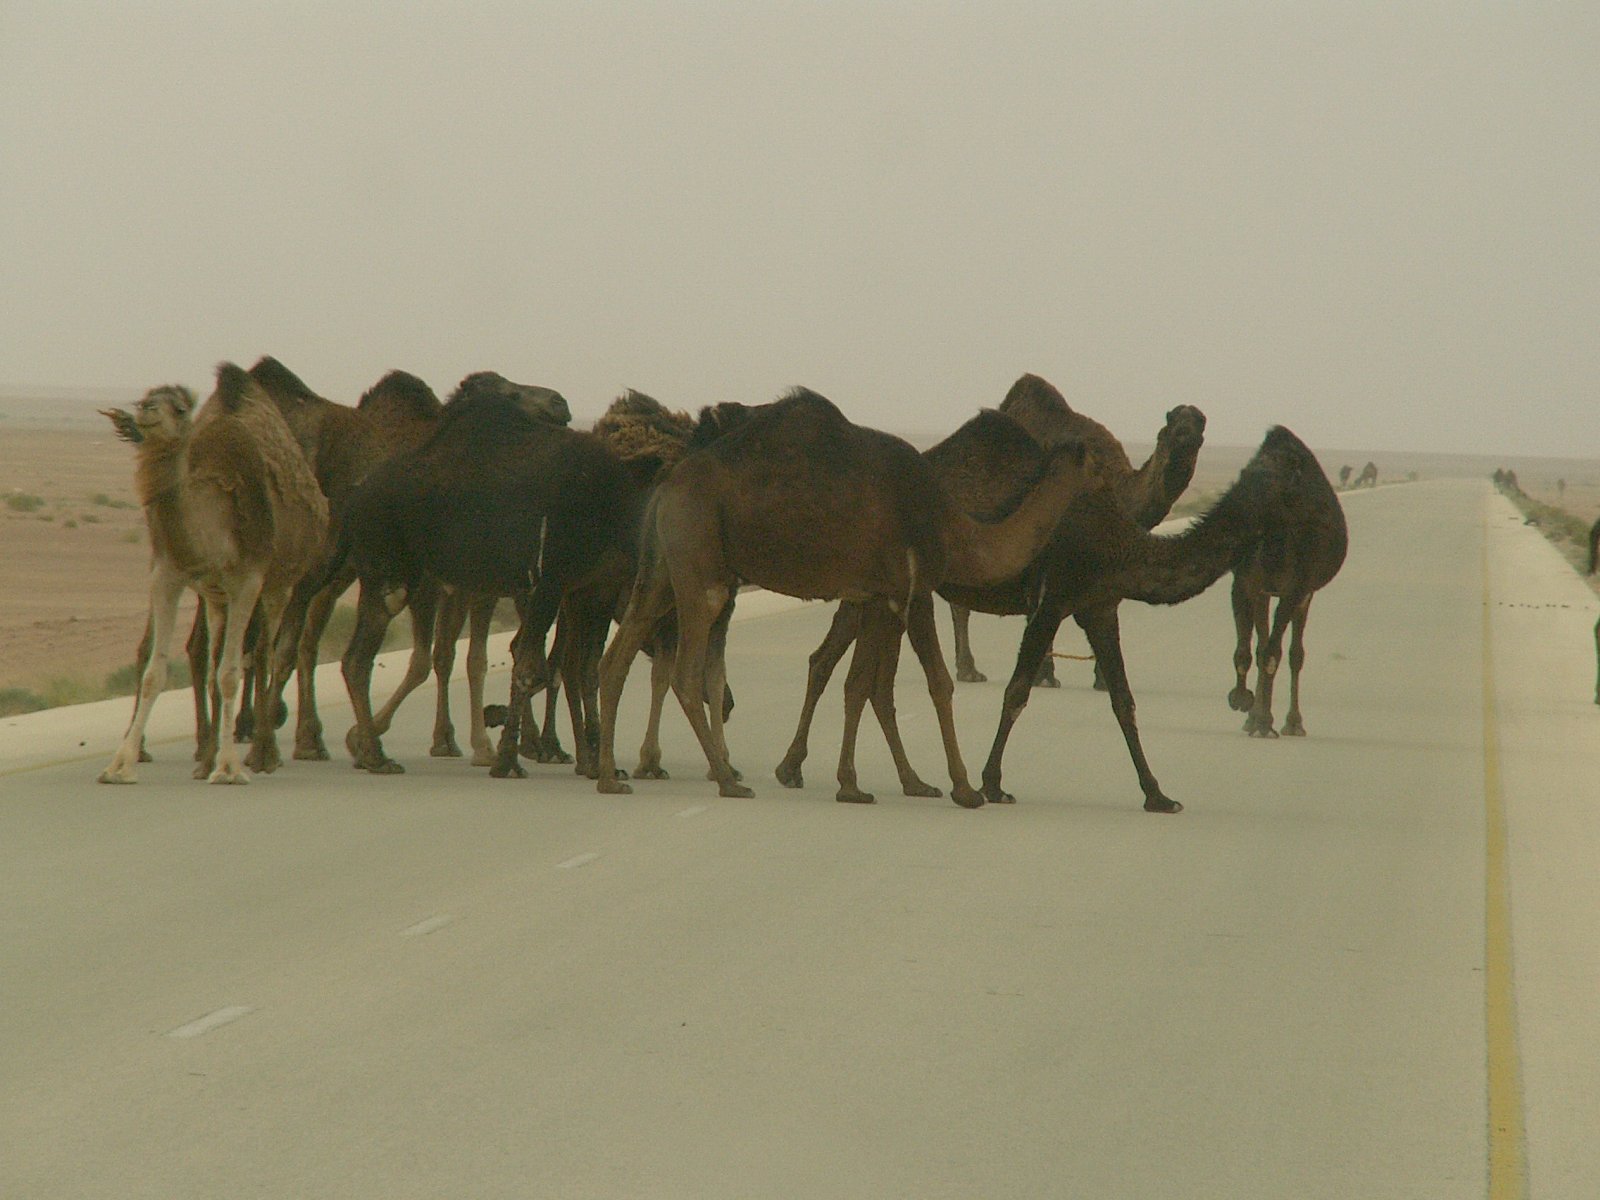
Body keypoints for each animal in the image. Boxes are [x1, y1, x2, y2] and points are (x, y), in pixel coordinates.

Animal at [98, 365, 328, 784]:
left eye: (180, 407)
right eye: (146, 397)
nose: (146, 411)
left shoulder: (248, 580)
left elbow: (232, 672)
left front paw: (229, 767)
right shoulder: (171, 575)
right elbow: (158, 672)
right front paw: (119, 765)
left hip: (281, 584)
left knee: (266, 653)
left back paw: (264, 753)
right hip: (217, 597)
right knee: (213, 657)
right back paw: (206, 758)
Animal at [592, 388, 1102, 806]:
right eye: (1096, 456)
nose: (1108, 490)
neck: (955, 527)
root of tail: (665, 489)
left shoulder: (877, 596)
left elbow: (863, 685)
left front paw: (873, 785)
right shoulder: (913, 589)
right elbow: (936, 682)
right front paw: (964, 789)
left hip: (661, 569)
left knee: (617, 658)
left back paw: (611, 778)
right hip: (700, 562)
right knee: (685, 670)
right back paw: (728, 780)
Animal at [948, 375, 1206, 684]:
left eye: (1201, 422)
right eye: (1173, 422)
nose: (1186, 436)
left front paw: (1101, 679)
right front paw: (1044, 676)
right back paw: (968, 671)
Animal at [1226, 436, 1348, 738]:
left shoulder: (1297, 590)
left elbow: (1280, 654)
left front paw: (1271, 721)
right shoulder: (1251, 585)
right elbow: (1256, 651)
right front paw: (1253, 712)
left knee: (1285, 651)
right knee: (1265, 646)